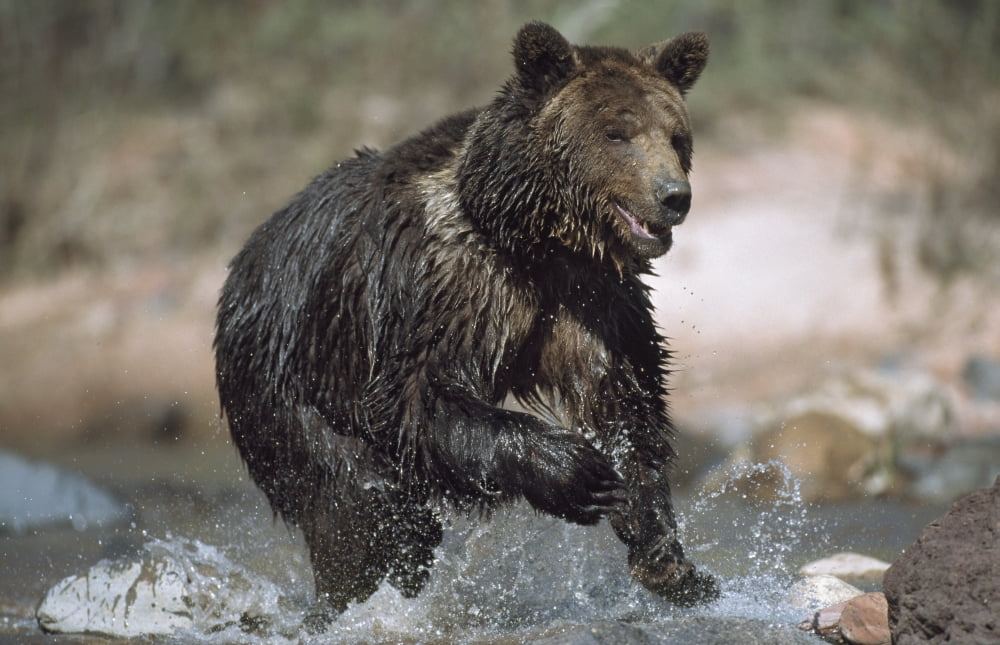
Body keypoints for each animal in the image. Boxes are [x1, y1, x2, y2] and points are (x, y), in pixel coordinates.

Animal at [214, 21, 716, 616]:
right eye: (617, 133)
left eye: (676, 136)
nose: (674, 196)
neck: (528, 234)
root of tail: (240, 265)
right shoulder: (444, 287)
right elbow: (416, 399)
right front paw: (576, 471)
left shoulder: (595, 299)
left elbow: (624, 401)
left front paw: (667, 557)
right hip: (285, 385)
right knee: (360, 507)